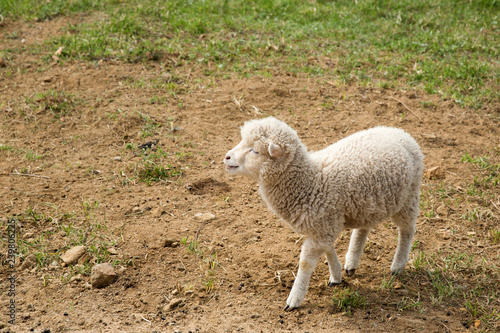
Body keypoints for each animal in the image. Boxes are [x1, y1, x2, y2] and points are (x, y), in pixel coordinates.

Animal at [225, 116, 424, 308]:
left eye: (255, 151)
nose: (226, 158)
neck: (310, 181)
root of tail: (401, 132)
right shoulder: (324, 225)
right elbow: (329, 250)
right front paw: (336, 275)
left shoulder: (324, 225)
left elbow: (306, 262)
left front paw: (294, 298)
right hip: (367, 203)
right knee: (363, 228)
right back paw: (352, 261)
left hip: (408, 197)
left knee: (407, 230)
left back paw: (398, 265)